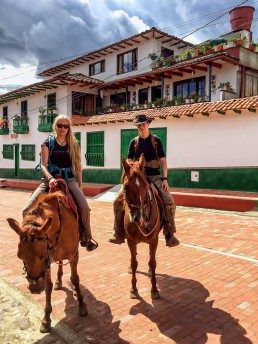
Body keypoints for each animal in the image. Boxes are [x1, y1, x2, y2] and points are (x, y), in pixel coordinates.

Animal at [6, 189, 87, 332]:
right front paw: (46, 319)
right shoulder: (48, 262)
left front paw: (82, 305)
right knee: (60, 264)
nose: (35, 287)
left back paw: (75, 291)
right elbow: (48, 286)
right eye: (20, 256)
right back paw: (59, 281)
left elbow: (75, 278)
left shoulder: (72, 255)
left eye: (41, 255)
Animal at [122, 155, 162, 300]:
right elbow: (134, 263)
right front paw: (133, 290)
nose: (139, 218)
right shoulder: (130, 241)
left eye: (146, 185)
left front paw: (154, 290)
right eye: (126, 187)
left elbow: (152, 262)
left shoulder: (154, 240)